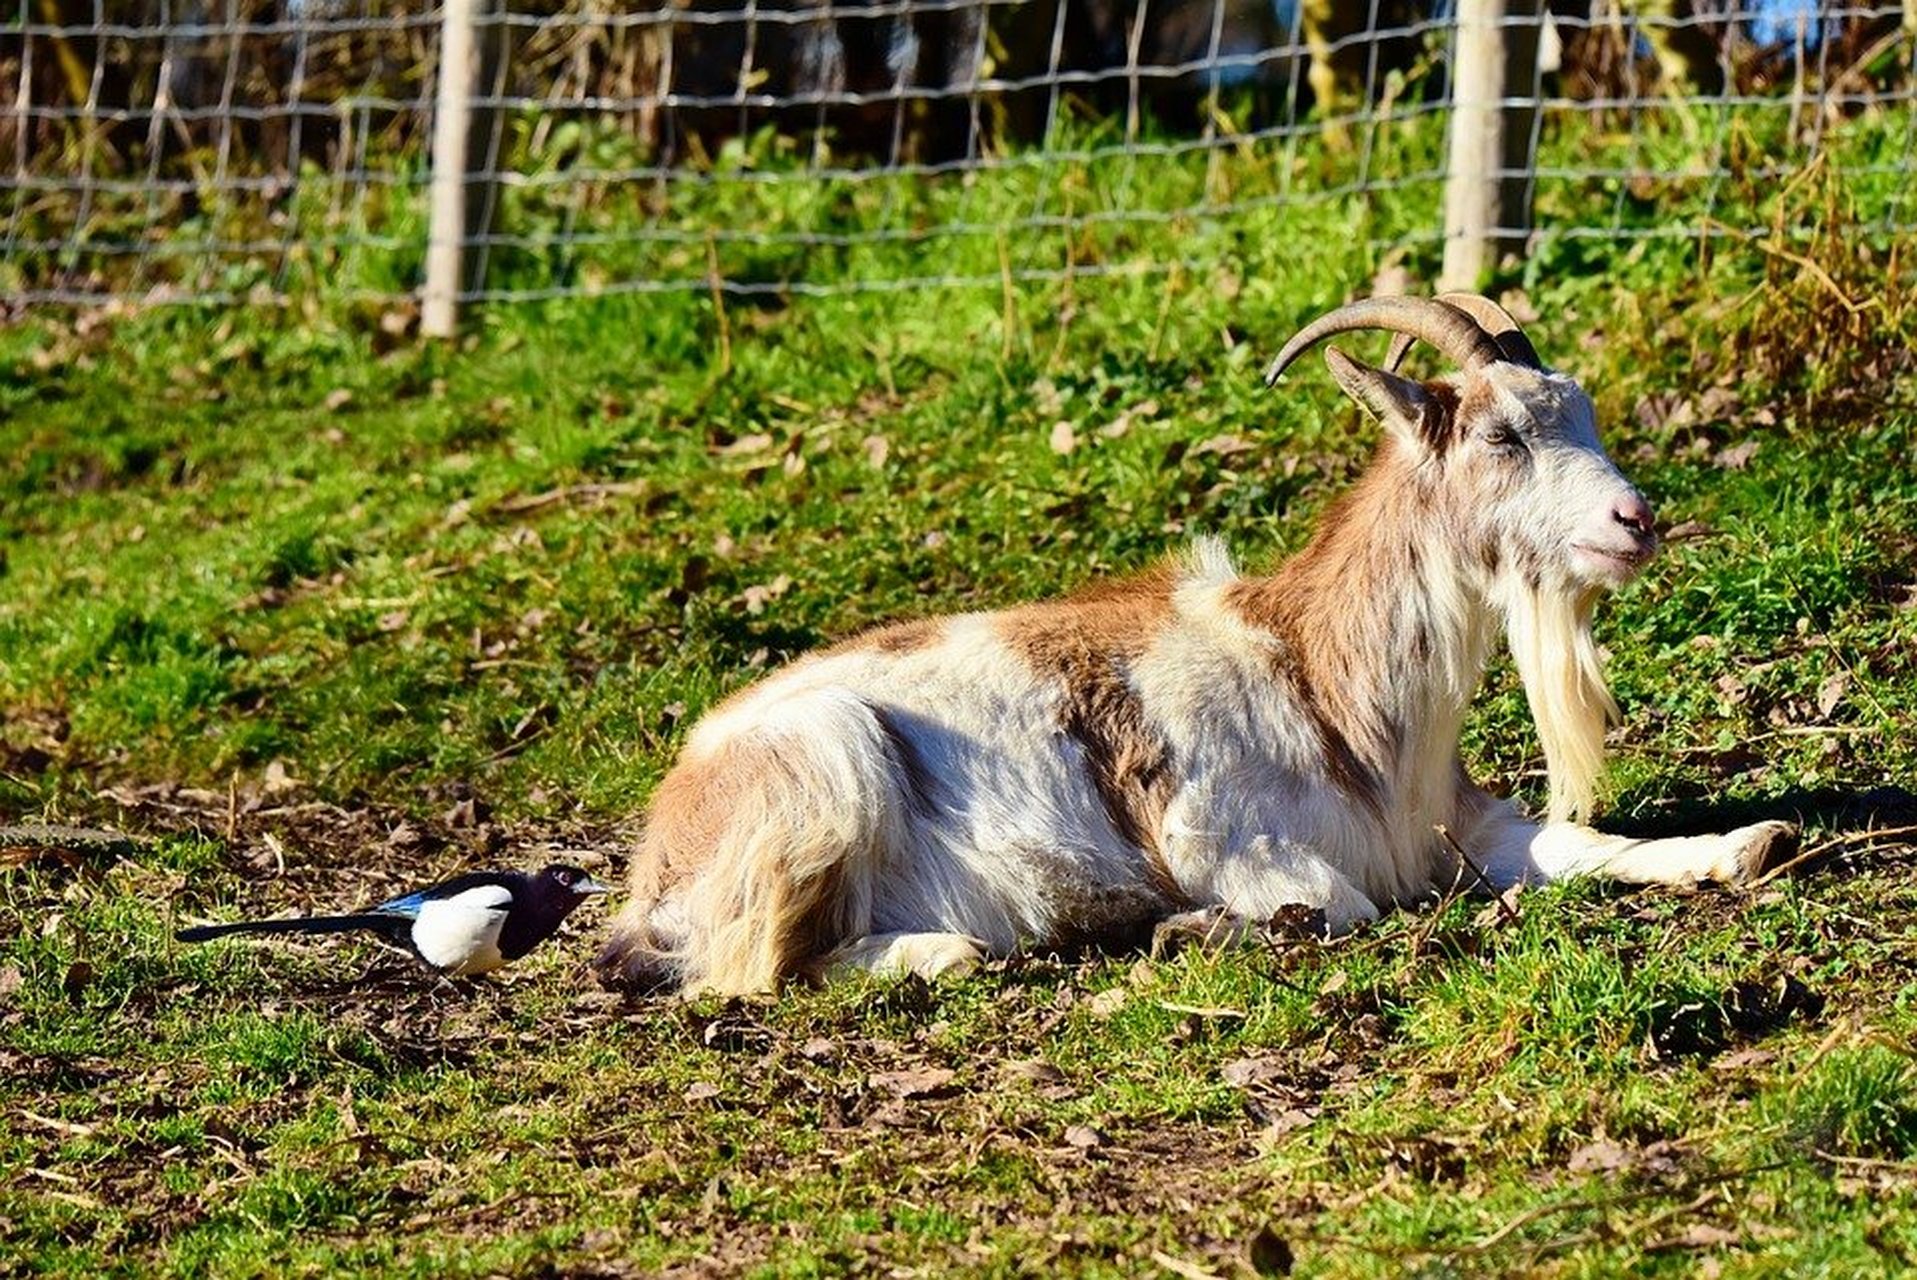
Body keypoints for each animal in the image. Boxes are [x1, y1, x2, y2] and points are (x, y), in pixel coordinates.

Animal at [598, 295, 1794, 996]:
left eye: (1578, 411)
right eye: (1502, 434)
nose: (1636, 520)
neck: (1321, 676)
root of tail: (661, 846)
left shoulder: (1455, 827)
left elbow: (1583, 848)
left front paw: (1748, 843)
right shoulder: (1222, 836)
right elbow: (1346, 907)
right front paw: (1186, 932)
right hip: (828, 761)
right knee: (749, 968)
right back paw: (953, 950)